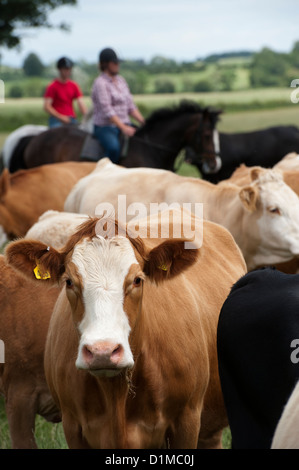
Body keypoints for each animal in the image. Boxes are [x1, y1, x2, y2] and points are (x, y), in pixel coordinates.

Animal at [5, 208, 247, 448]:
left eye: (138, 280)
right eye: (69, 281)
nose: (102, 351)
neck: (116, 395)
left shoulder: (187, 421)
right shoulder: (71, 424)